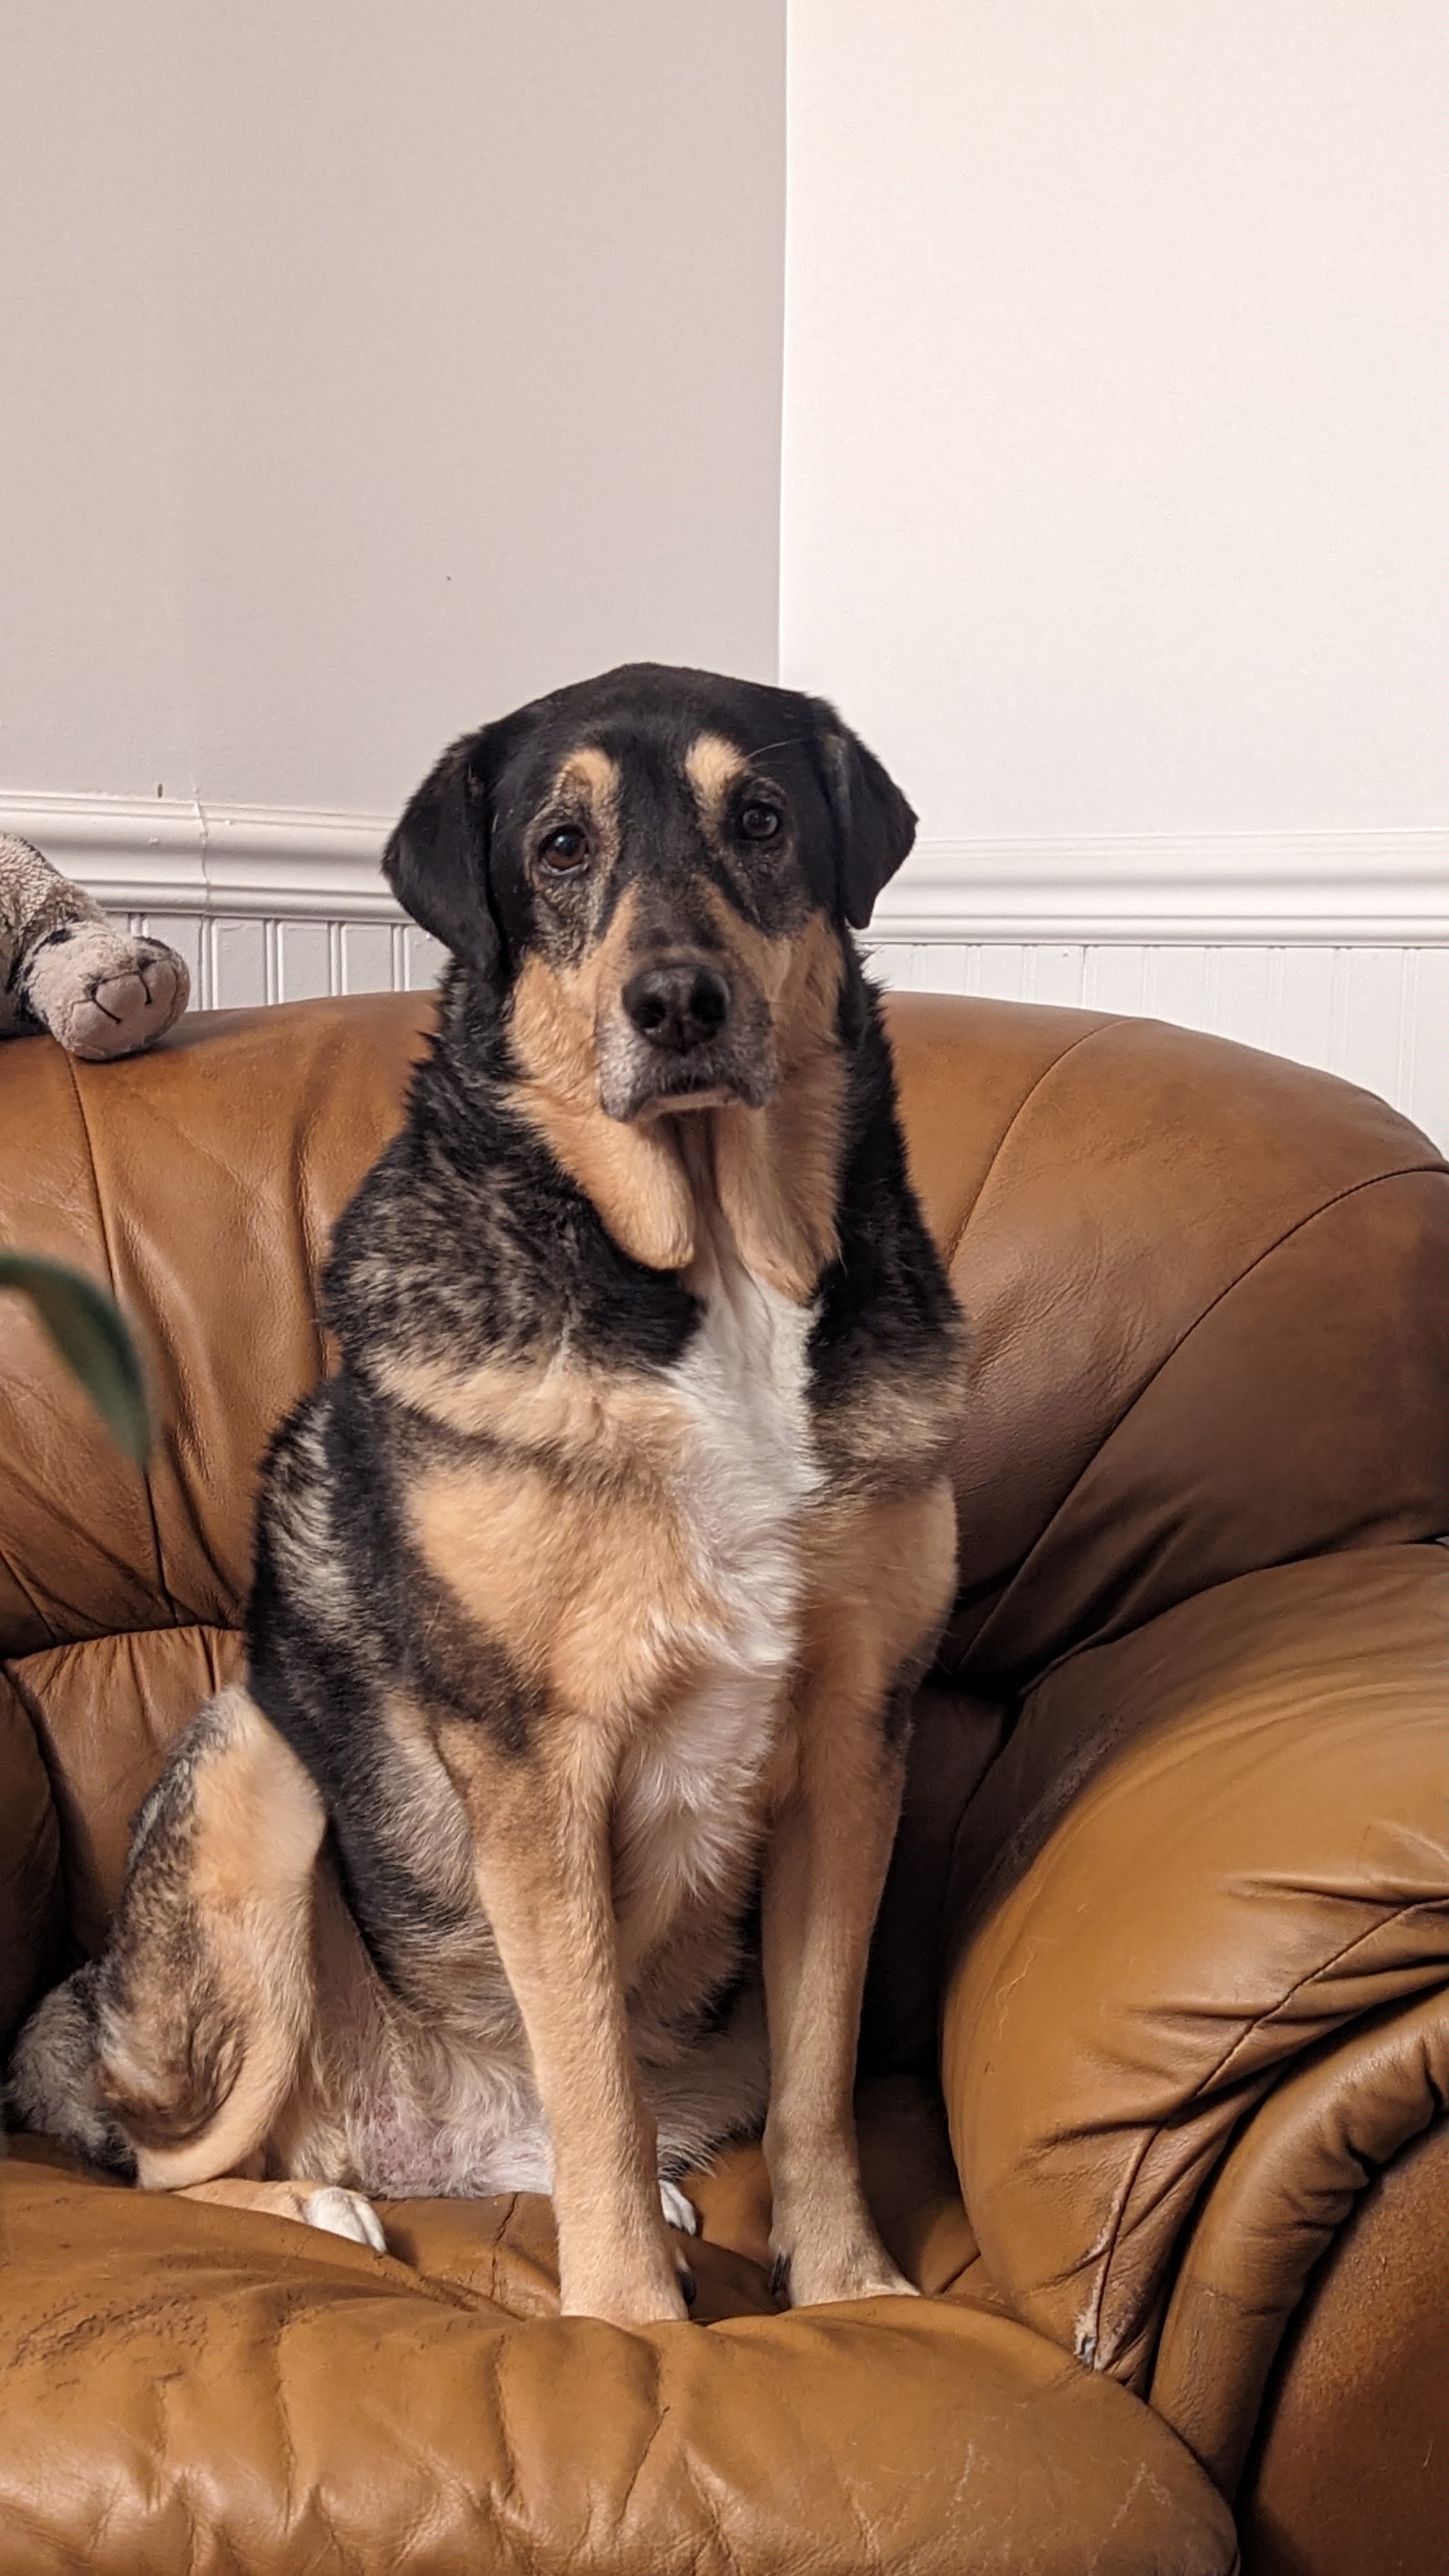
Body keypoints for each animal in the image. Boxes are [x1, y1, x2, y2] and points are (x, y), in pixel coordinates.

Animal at [11, 663, 965, 2327]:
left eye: (761, 820)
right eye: (561, 846)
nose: (678, 1005)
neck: (706, 1275)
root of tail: (440, 2146)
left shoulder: (860, 1745)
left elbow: (822, 2075)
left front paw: (847, 2285)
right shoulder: (537, 1764)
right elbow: (592, 2069)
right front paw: (632, 2321)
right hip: (259, 1776)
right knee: (164, 2167)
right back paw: (323, 2206)